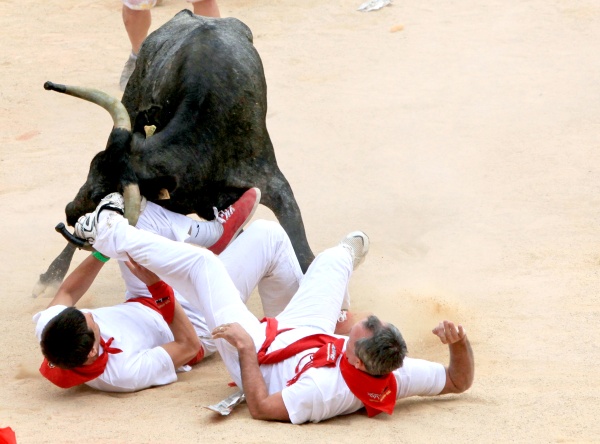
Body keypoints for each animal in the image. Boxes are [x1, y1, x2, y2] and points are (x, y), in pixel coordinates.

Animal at [33, 9, 316, 294]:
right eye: (91, 168)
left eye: (102, 195)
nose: (69, 213)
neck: (204, 142)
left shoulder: (272, 185)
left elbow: (302, 252)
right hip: (131, 99)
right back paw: (51, 276)